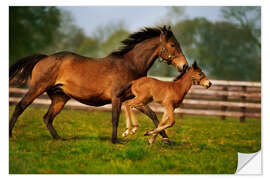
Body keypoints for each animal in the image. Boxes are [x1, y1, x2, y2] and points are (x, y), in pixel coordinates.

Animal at [9, 25, 189, 143]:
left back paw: (59, 139)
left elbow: (153, 116)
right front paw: (115, 140)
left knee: (47, 118)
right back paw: (11, 135)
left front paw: (166, 140)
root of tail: (44, 58)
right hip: (37, 88)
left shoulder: (135, 99)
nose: (184, 66)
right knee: (20, 107)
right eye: (173, 45)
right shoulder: (117, 98)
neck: (130, 65)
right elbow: (115, 118)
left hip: (59, 98)